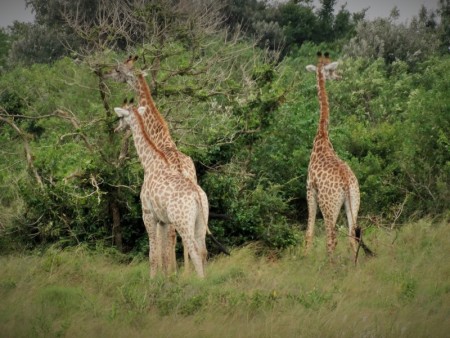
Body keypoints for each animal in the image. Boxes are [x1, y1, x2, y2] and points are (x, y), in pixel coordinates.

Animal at [114, 99, 209, 278]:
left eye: (120, 117)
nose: (117, 129)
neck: (149, 163)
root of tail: (196, 196)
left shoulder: (148, 214)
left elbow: (152, 254)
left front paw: (152, 281)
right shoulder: (163, 220)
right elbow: (164, 255)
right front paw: (165, 279)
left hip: (182, 222)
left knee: (193, 249)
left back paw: (199, 281)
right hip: (201, 220)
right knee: (202, 250)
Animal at [304, 51, 374, 260]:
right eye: (331, 70)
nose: (339, 77)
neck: (322, 137)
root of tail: (346, 183)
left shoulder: (310, 190)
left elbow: (309, 231)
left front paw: (303, 257)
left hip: (329, 205)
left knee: (331, 238)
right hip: (354, 201)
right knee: (352, 236)